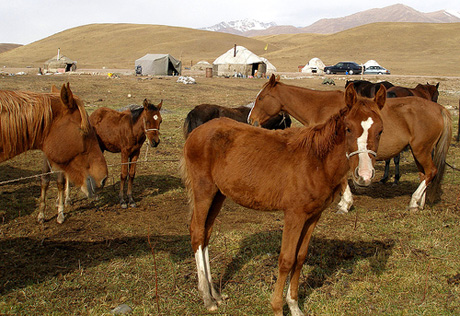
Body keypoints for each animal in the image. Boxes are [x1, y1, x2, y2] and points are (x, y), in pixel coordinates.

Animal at [0, 83, 108, 222]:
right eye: (84, 130)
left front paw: (60, 213)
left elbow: (60, 183)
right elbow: (45, 181)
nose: (103, 178)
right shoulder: (47, 159)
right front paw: (41, 214)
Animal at [181, 84, 386, 316]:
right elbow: (286, 259)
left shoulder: (313, 216)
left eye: (380, 131)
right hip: (203, 190)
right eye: (349, 128)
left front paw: (294, 306)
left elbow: (300, 257)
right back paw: (207, 298)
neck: (316, 160)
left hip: (218, 194)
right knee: (197, 232)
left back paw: (215, 293)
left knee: (206, 234)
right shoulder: (294, 215)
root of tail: (196, 132)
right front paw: (278, 307)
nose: (364, 175)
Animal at [250, 74, 452, 212]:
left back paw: (413, 201)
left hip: (421, 150)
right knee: (424, 174)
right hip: (420, 152)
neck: (320, 107)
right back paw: (419, 204)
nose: (251, 120)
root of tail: (438, 108)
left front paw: (345, 203)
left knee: (430, 172)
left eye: (261, 98)